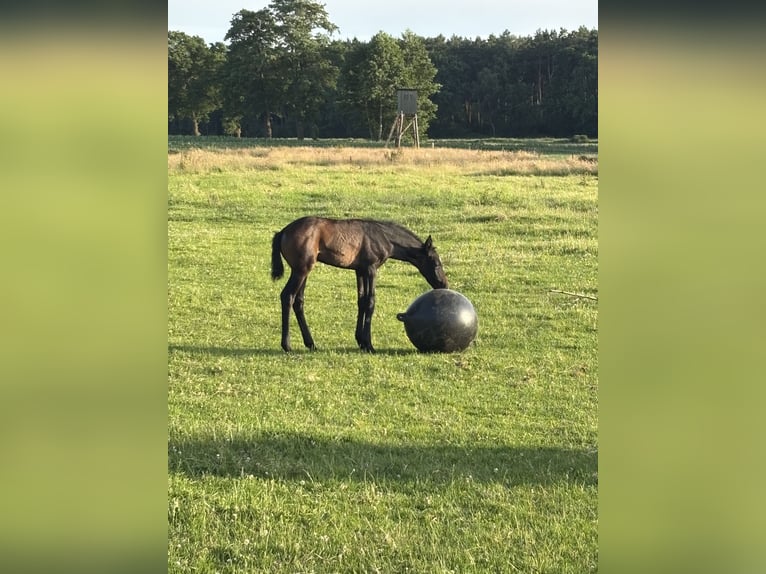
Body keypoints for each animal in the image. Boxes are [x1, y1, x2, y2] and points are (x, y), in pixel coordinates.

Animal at [271, 216, 449, 353]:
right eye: (435, 262)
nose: (444, 284)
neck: (384, 237)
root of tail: (283, 232)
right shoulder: (371, 269)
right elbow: (370, 302)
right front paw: (369, 344)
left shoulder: (360, 270)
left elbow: (361, 301)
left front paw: (360, 341)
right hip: (301, 270)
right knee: (287, 296)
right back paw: (287, 345)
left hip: (303, 271)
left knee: (299, 301)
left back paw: (310, 343)